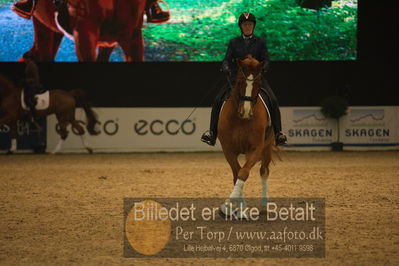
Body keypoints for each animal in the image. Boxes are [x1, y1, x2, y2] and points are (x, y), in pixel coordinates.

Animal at [217, 55, 276, 219]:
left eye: (258, 83)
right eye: (240, 82)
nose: (246, 112)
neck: (240, 120)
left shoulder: (255, 149)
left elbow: (243, 173)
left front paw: (227, 206)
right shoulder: (228, 150)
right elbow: (237, 173)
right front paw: (239, 209)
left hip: (267, 147)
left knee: (264, 171)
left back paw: (264, 204)